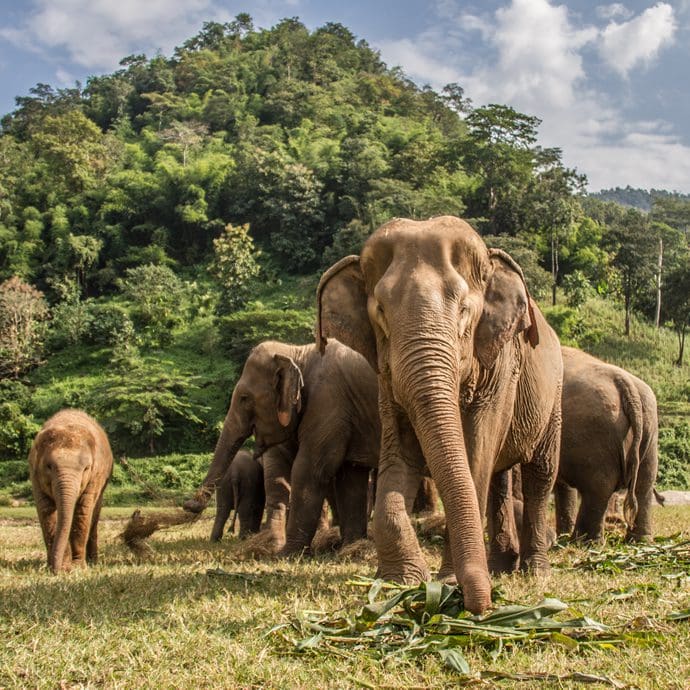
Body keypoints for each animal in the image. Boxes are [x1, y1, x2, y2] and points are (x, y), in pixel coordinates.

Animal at [28, 409, 114, 573]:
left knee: (94, 513)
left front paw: (77, 567)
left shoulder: (95, 476)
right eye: (49, 466)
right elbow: (46, 511)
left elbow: (83, 511)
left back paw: (93, 562)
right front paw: (61, 566)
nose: (56, 570)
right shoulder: (35, 476)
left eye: (86, 468)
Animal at [184, 339, 381, 555]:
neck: (297, 352)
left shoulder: (329, 404)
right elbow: (349, 476)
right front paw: (350, 549)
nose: (189, 504)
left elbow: (309, 471)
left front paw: (286, 555)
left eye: (244, 398)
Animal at [318, 216, 563, 614]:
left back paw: (534, 572)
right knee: (499, 477)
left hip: (553, 396)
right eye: (381, 311)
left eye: (463, 309)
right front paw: (400, 581)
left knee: (540, 474)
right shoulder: (386, 379)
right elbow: (400, 455)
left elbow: (475, 453)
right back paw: (500, 567)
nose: (482, 605)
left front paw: (446, 581)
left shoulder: (500, 366)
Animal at [553, 346, 659, 542]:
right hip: (650, 430)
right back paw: (639, 540)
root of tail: (627, 386)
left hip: (594, 435)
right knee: (645, 483)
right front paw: (561, 535)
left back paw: (584, 541)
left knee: (598, 487)